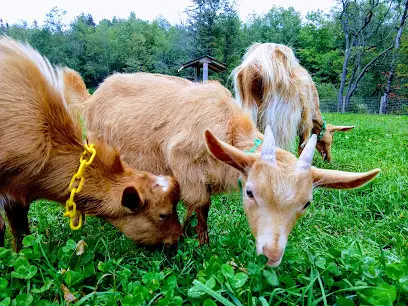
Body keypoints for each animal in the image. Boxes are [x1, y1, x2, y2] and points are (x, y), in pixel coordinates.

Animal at [75, 71, 380, 266]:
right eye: (250, 193)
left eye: (306, 204)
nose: (272, 255)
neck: (229, 131)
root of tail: (93, 95)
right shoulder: (187, 167)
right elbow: (201, 207)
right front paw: (202, 245)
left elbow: (194, 207)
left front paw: (187, 232)